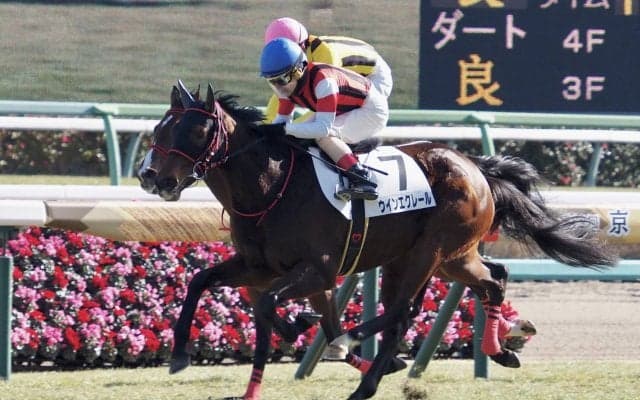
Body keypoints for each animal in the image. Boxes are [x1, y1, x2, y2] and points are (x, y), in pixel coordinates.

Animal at [155, 82, 617, 400]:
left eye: (193, 131)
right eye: (161, 128)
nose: (152, 176)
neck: (272, 187)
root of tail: (475, 166)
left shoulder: (318, 269)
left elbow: (271, 305)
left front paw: (282, 351)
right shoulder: (259, 265)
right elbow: (201, 281)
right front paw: (179, 356)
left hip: (429, 251)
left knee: (402, 311)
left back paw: (360, 357)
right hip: (452, 257)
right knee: (492, 280)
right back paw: (496, 351)